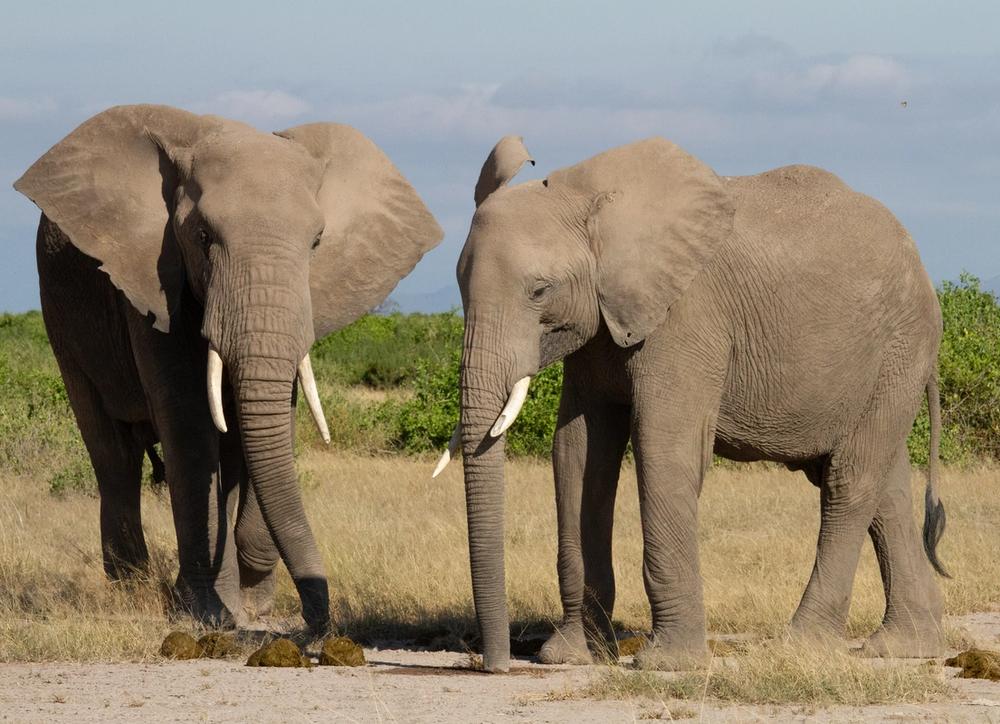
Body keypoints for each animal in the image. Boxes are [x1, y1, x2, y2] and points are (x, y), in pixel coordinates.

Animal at [14, 104, 443, 633]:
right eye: (203, 238)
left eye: (317, 242)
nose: (316, 624)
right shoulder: (153, 279)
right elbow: (189, 422)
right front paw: (207, 612)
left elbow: (272, 421)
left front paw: (252, 605)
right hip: (60, 314)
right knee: (113, 454)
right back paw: (132, 587)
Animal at [435, 135, 946, 672]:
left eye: (539, 290)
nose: (496, 664)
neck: (589, 201)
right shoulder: (599, 323)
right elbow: (576, 454)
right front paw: (570, 657)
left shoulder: (687, 316)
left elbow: (664, 449)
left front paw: (667, 664)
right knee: (886, 486)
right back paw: (906, 647)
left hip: (901, 348)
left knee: (849, 480)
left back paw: (802, 647)